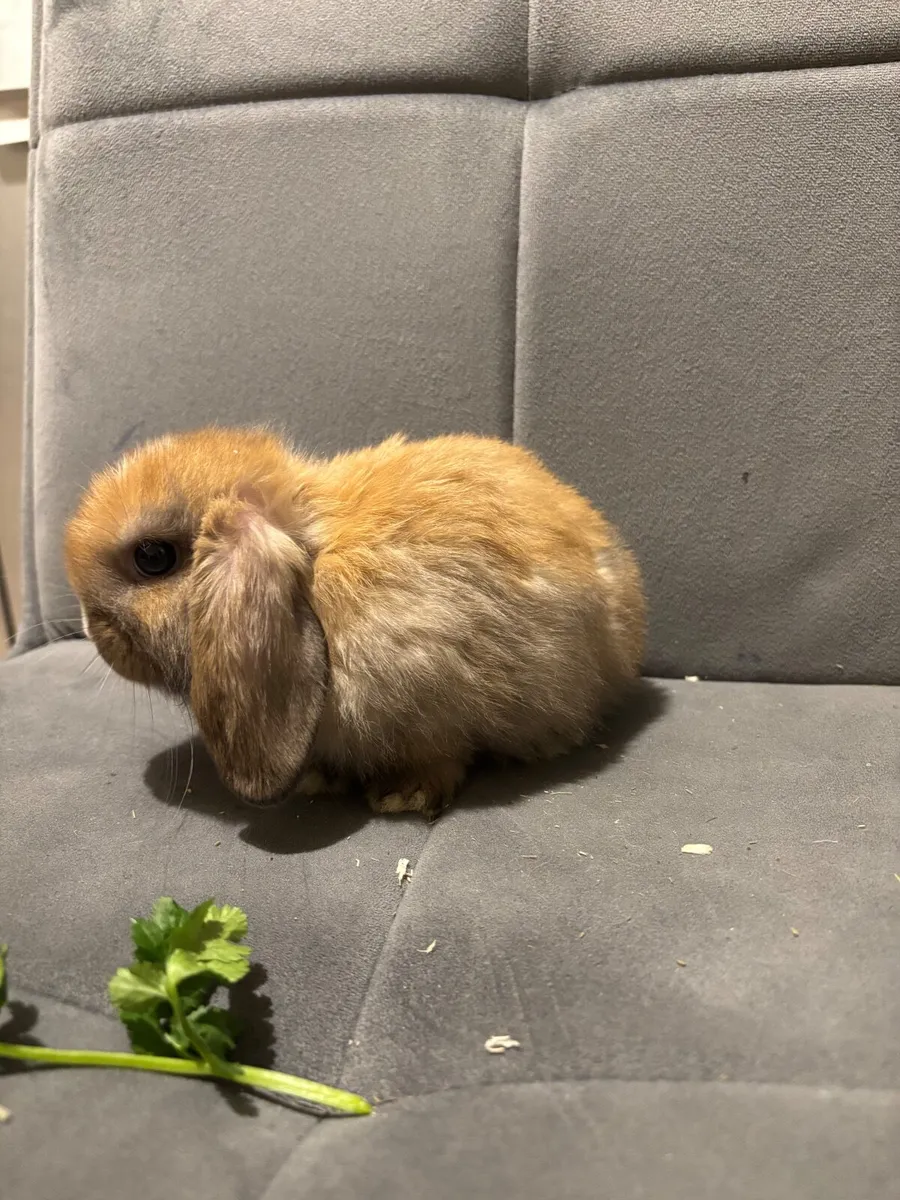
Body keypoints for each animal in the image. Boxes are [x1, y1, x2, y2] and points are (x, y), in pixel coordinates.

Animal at [65, 427, 646, 818]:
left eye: (153, 557)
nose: (93, 630)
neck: (315, 561)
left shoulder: (435, 697)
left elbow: (442, 757)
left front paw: (402, 797)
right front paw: (316, 781)